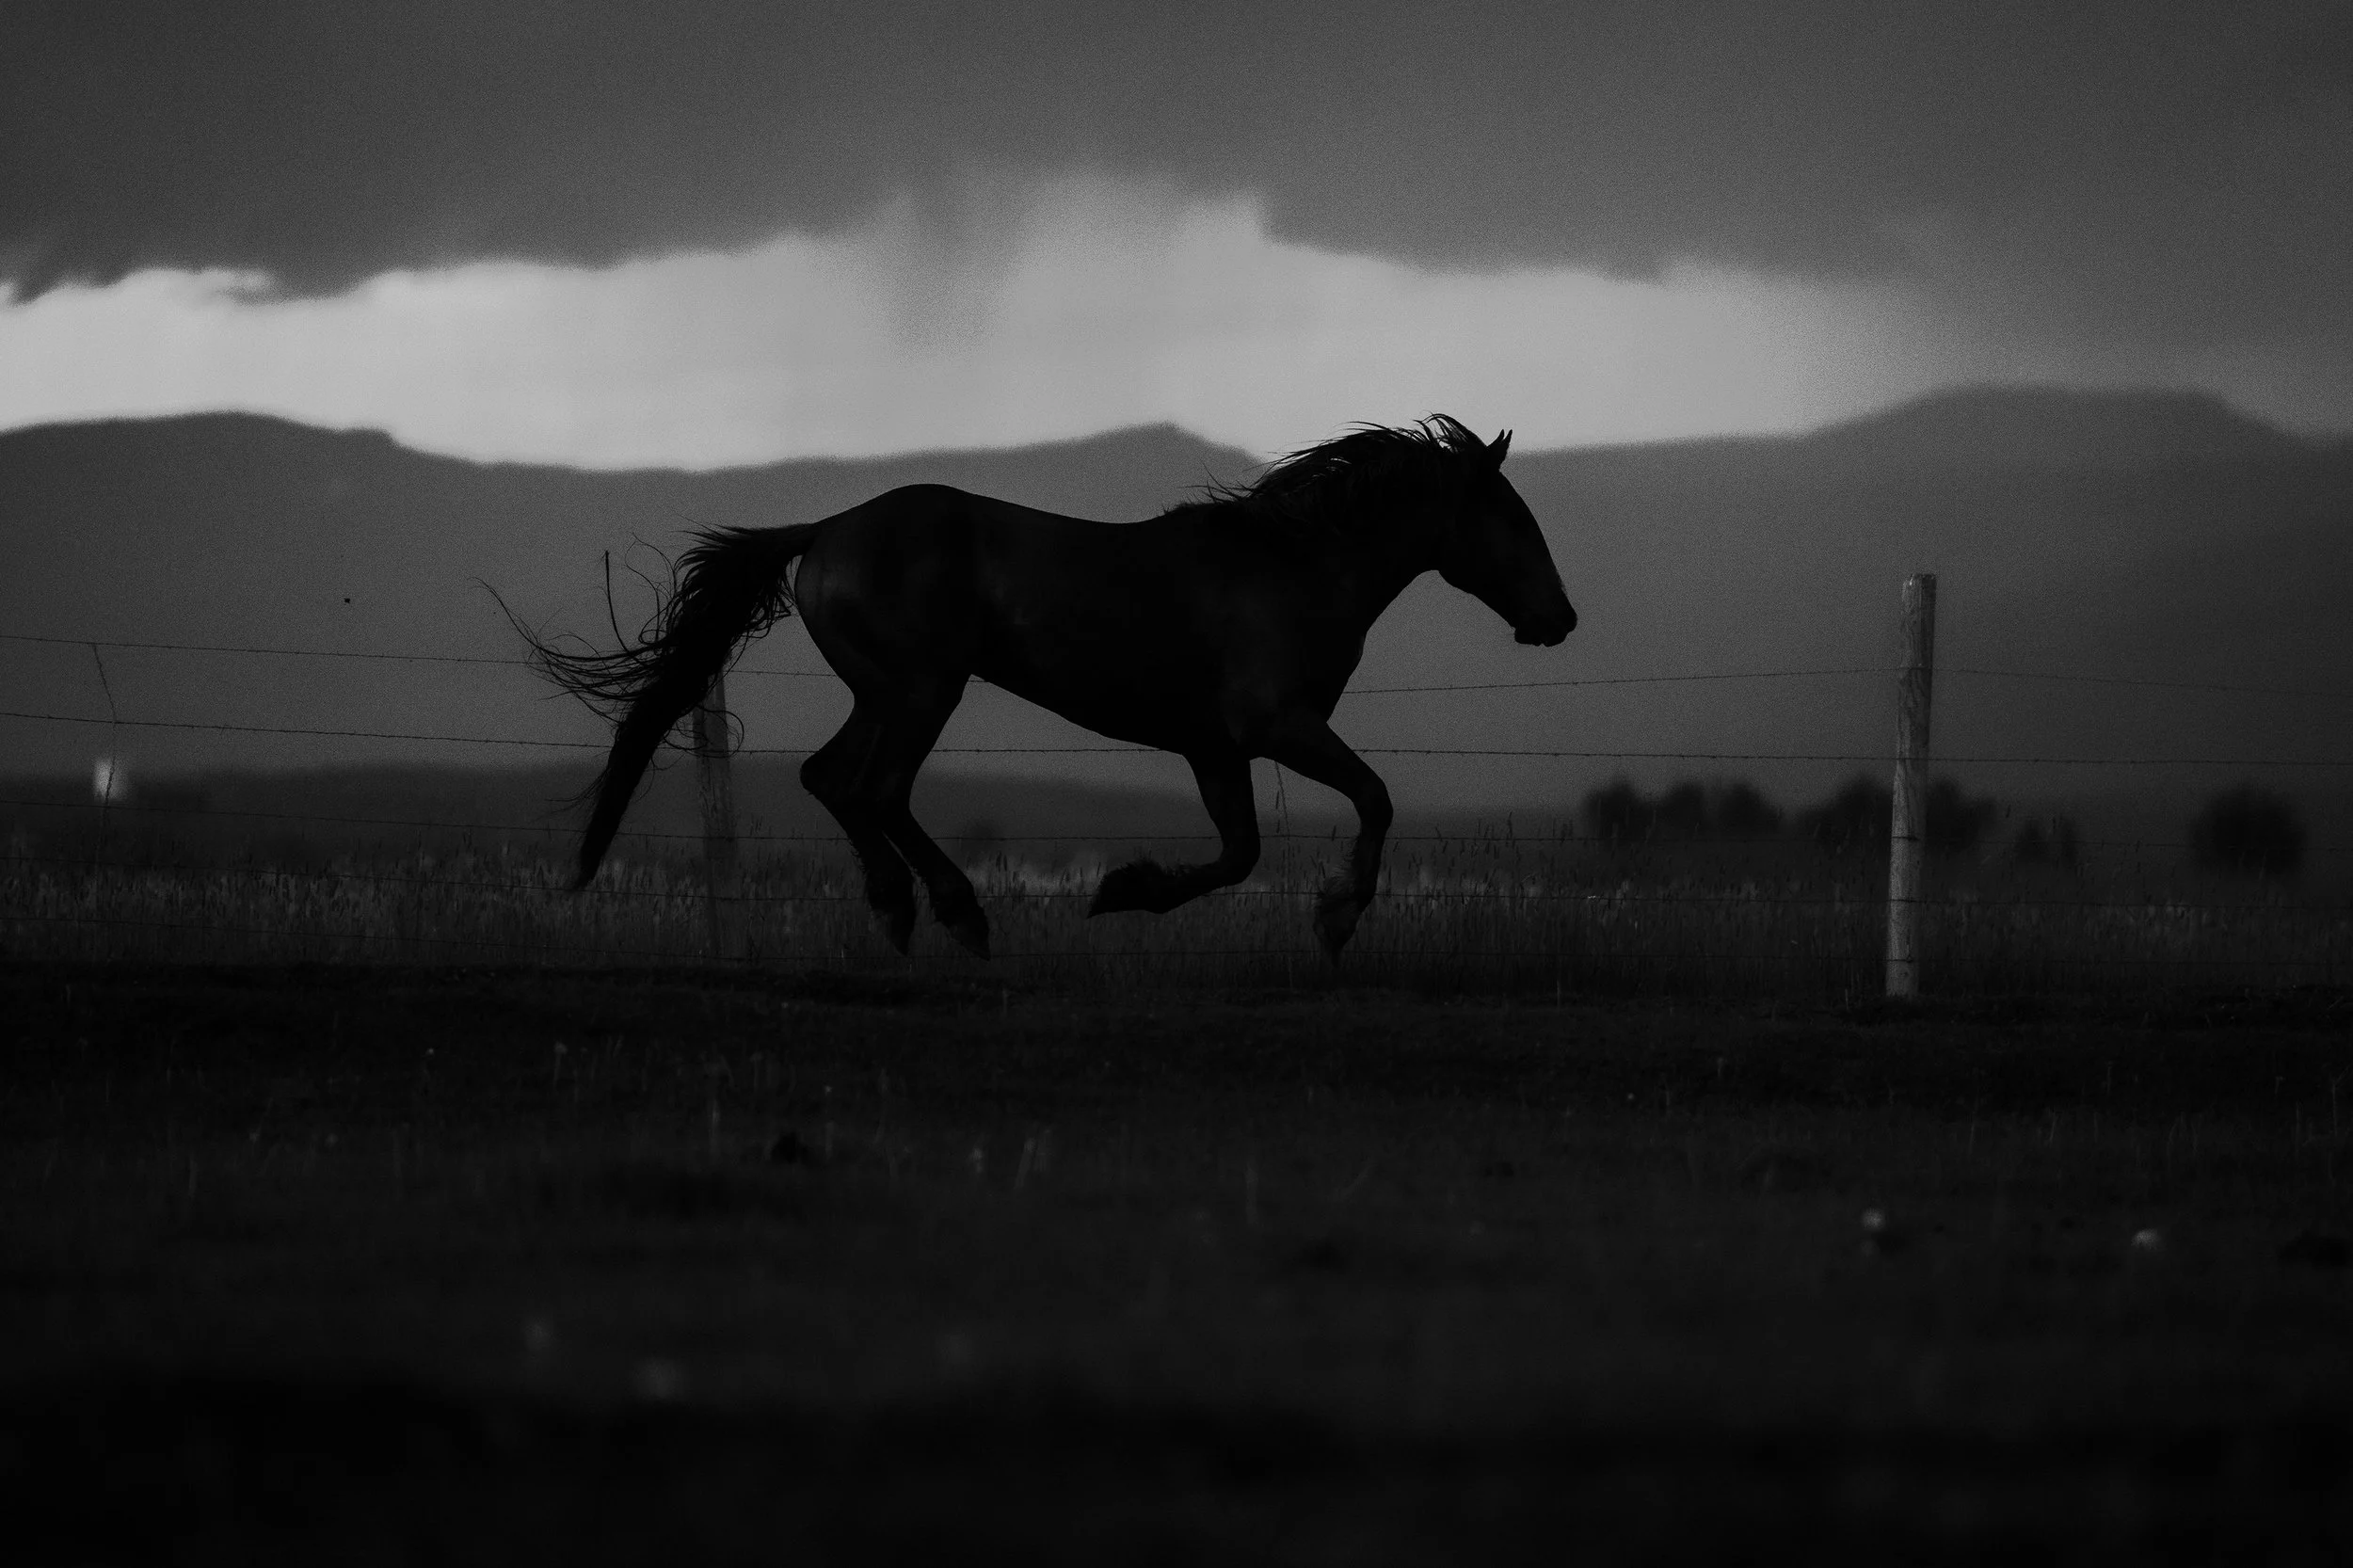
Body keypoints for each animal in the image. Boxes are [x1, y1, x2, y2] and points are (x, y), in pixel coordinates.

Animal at [526, 415, 1575, 961]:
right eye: (1512, 521)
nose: (1558, 617)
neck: (1292, 566)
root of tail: (824, 532)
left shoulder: (1215, 746)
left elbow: (1237, 853)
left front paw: (1123, 891)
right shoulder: (1277, 725)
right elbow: (1374, 797)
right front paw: (1335, 916)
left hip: (884, 692)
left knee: (831, 781)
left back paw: (897, 911)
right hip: (923, 691)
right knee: (876, 790)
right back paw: (956, 915)